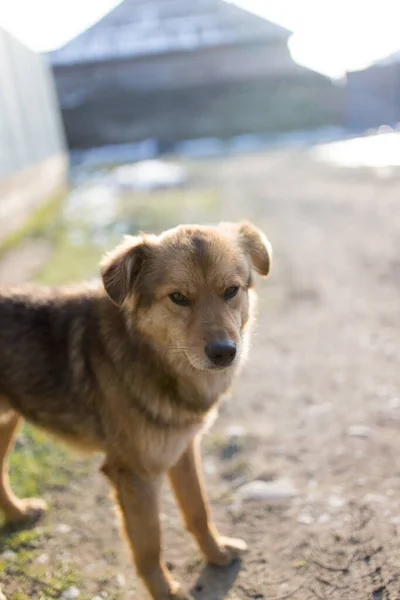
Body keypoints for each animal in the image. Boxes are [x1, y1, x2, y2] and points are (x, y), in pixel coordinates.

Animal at [0, 221, 272, 600]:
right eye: (178, 297)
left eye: (231, 291)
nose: (224, 352)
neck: (155, 359)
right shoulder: (134, 474)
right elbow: (149, 546)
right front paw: (166, 592)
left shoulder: (182, 450)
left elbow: (198, 510)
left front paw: (216, 554)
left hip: (8, 420)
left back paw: (17, 514)